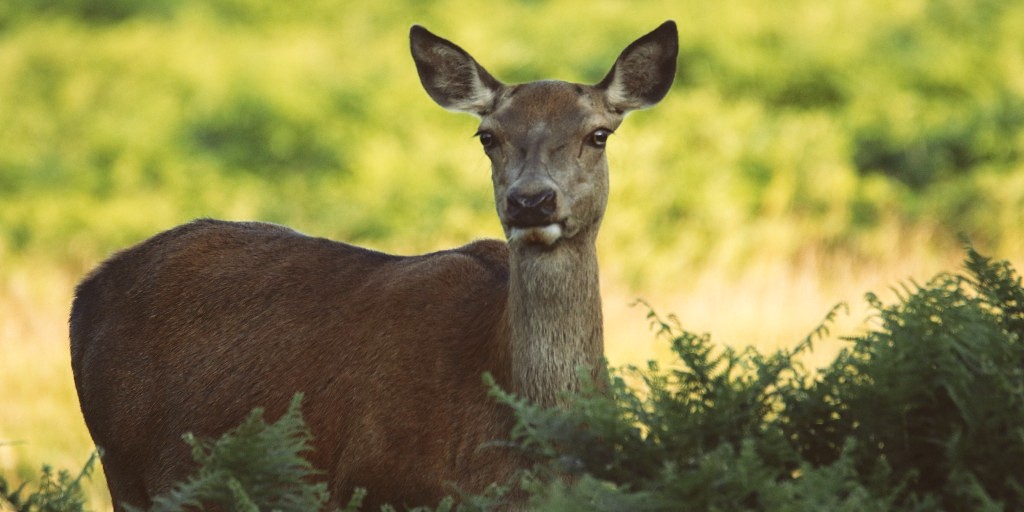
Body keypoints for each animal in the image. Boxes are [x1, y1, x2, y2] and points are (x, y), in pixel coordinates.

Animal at [70, 21, 677, 510]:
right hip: (123, 468)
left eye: (597, 134)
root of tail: (86, 288)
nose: (531, 201)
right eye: (487, 136)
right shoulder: (374, 483)